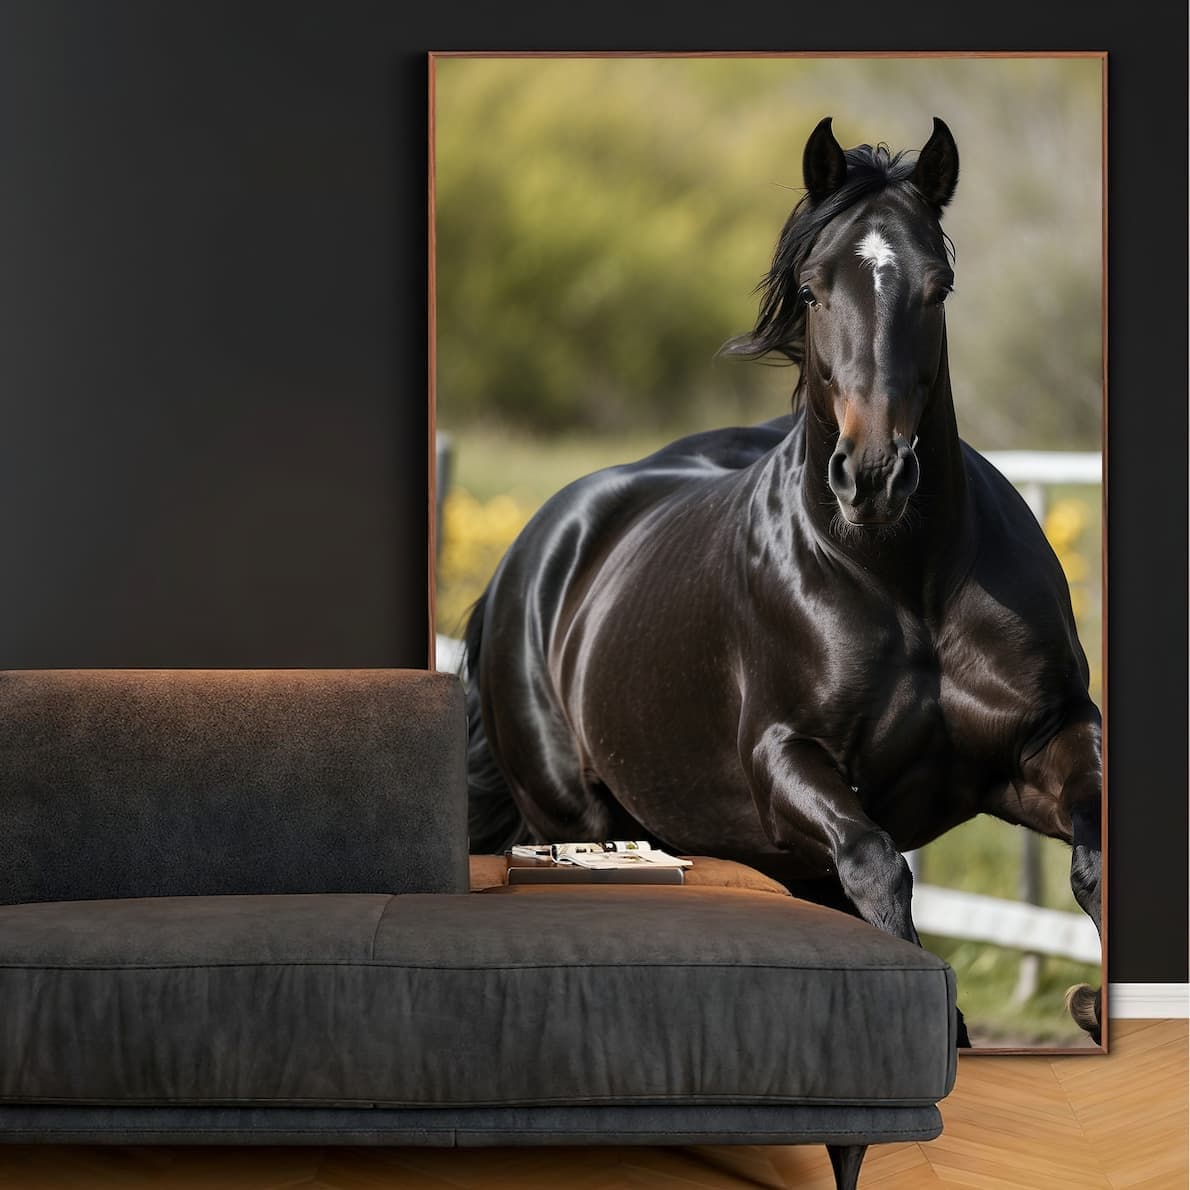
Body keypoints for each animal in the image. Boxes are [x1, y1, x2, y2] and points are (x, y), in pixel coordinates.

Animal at [462, 117, 1103, 1047]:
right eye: (810, 290)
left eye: (938, 288)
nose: (874, 475)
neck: (902, 581)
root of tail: (532, 556)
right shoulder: (785, 761)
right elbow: (879, 868)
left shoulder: (1046, 738)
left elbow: (1092, 860)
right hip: (581, 821)